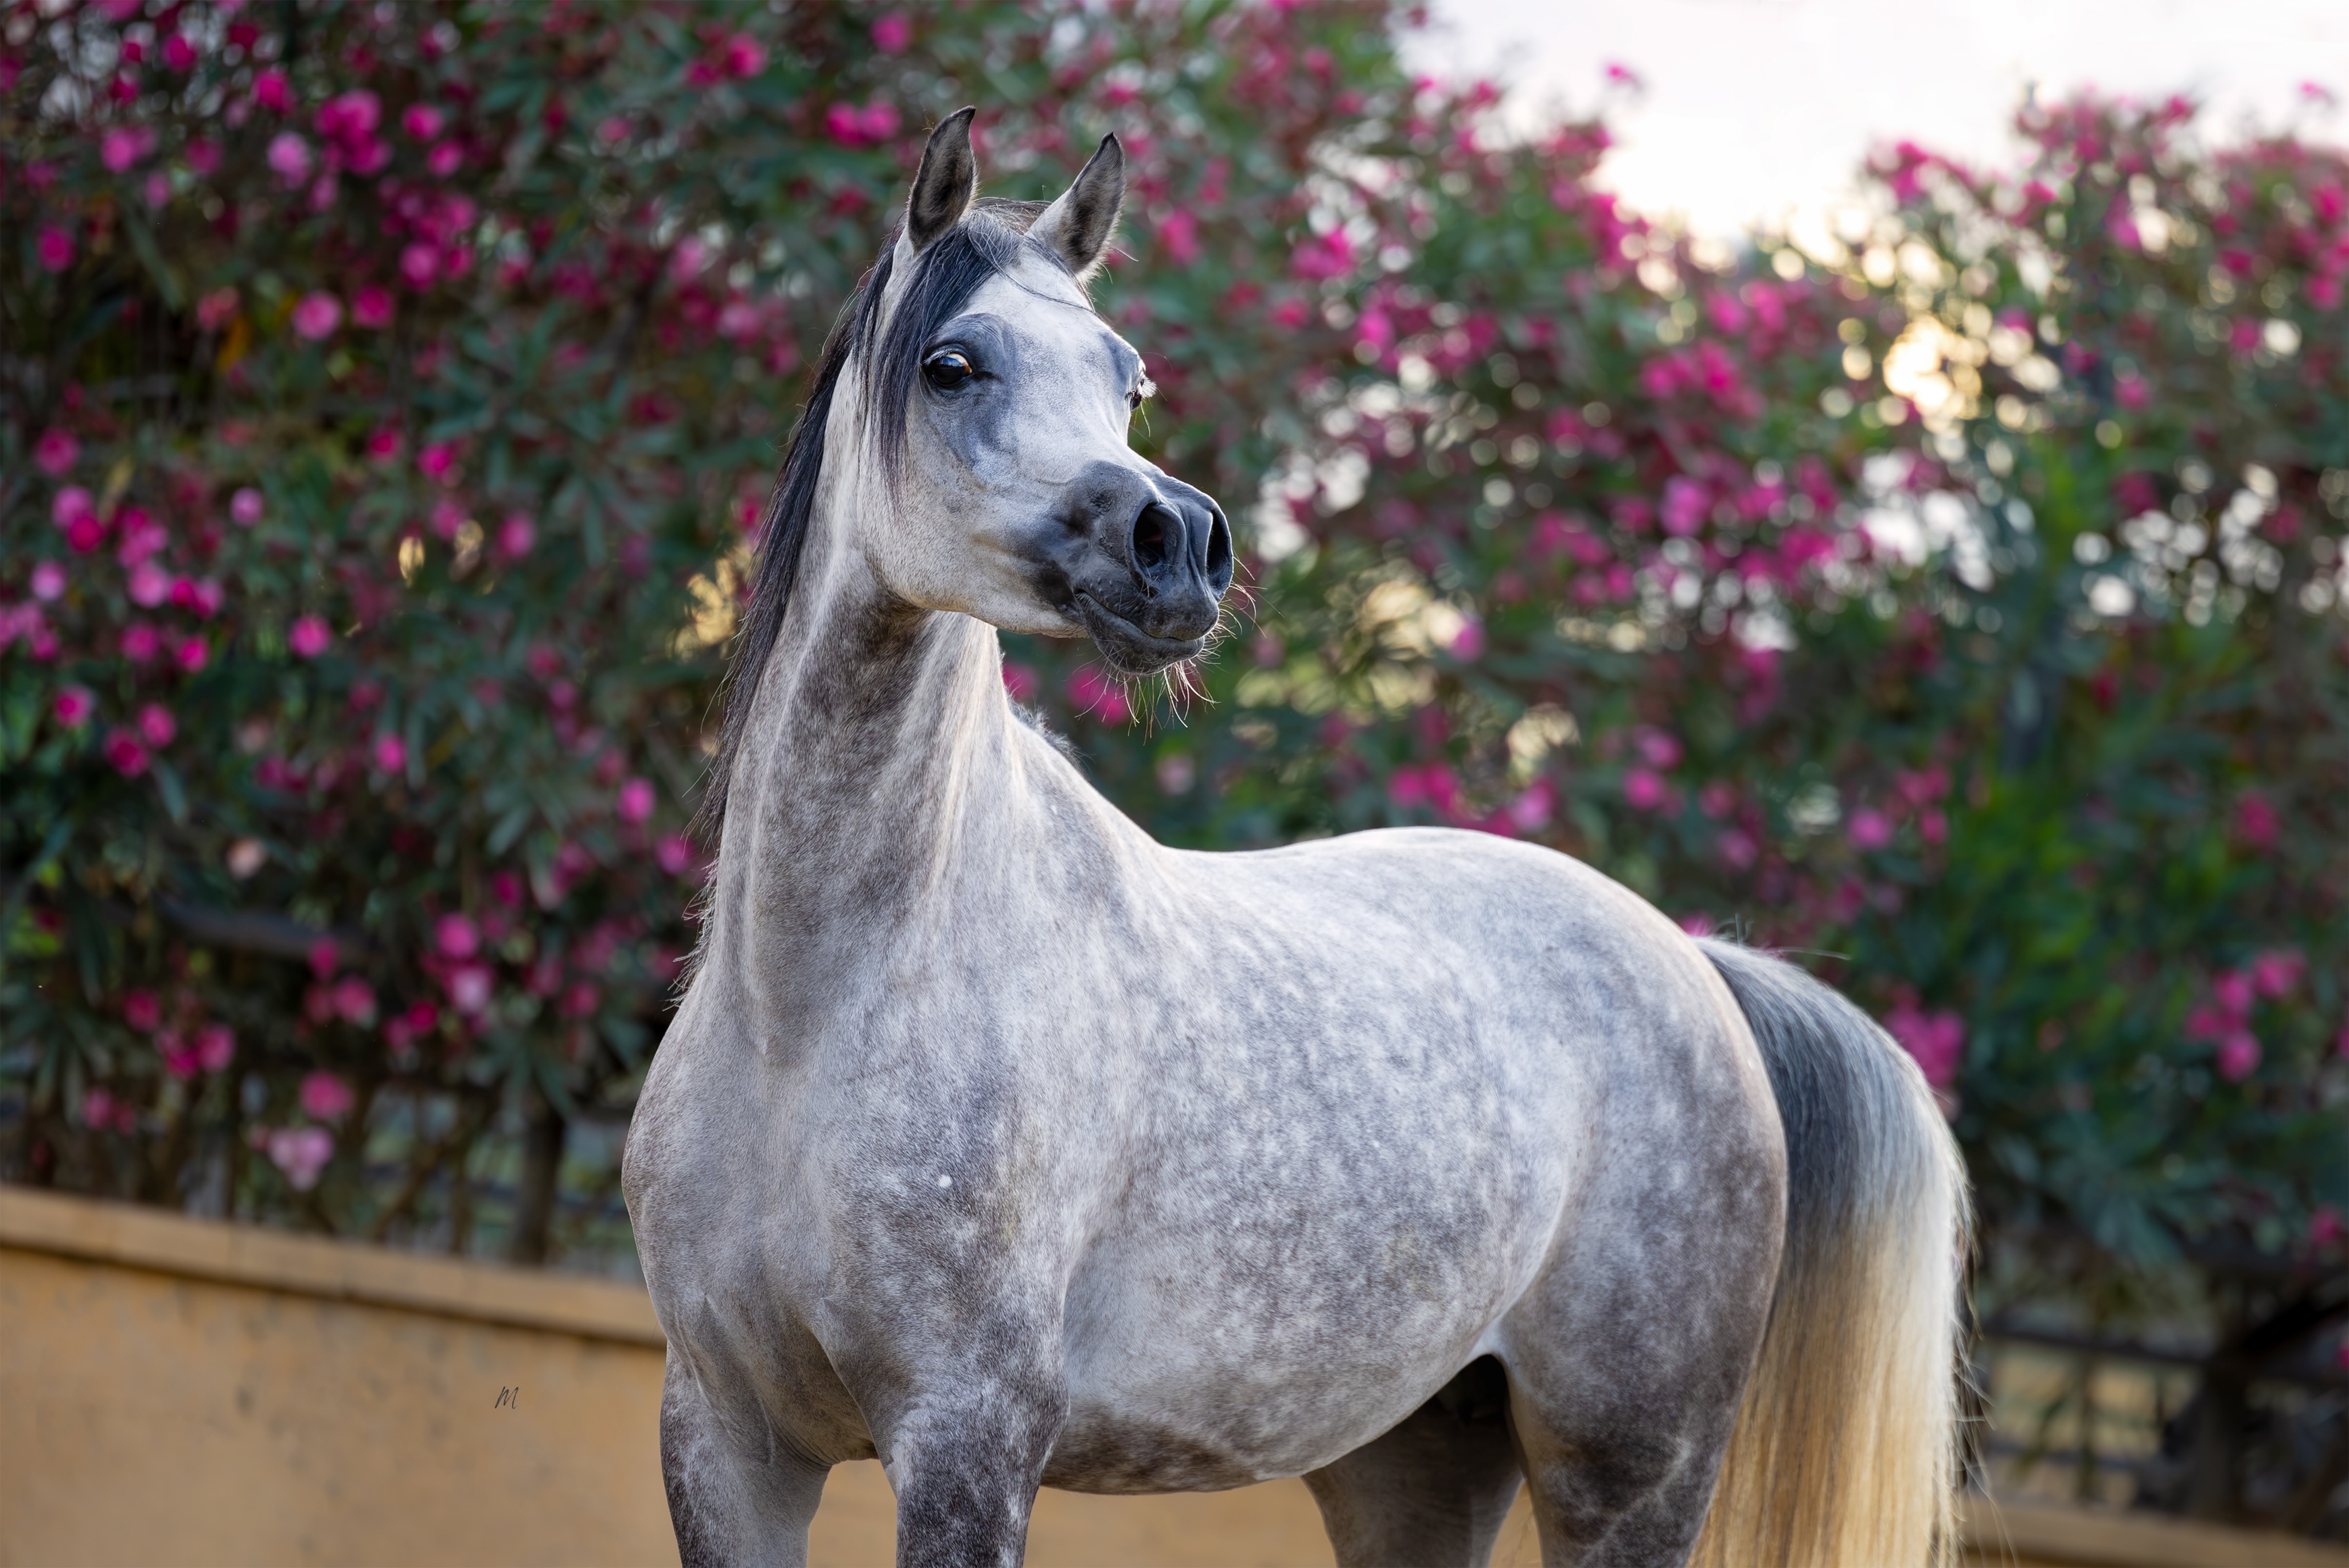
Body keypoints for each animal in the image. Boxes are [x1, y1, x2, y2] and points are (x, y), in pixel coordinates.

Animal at [623, 108, 1968, 1568]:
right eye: (953, 365)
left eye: (1128, 380)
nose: (1179, 545)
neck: (816, 1006)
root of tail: (1696, 965)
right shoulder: (727, 1438)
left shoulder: (967, 1437)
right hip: (1417, 1465)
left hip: (1630, 1475)